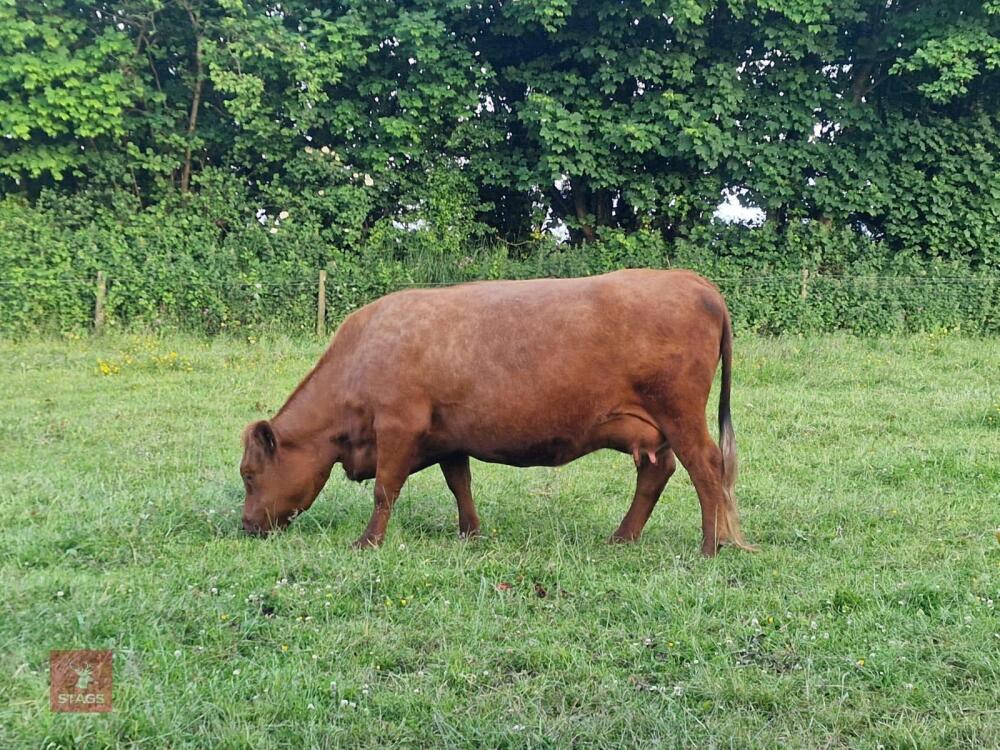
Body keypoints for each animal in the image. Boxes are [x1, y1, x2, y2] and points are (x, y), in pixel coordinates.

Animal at [240, 269, 755, 556]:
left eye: (248, 474)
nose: (246, 526)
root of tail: (692, 280)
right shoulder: (447, 436)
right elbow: (460, 484)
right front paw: (470, 533)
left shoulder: (398, 426)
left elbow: (385, 490)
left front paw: (367, 542)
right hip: (652, 427)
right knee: (657, 472)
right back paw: (623, 537)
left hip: (680, 414)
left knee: (707, 468)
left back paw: (710, 546)